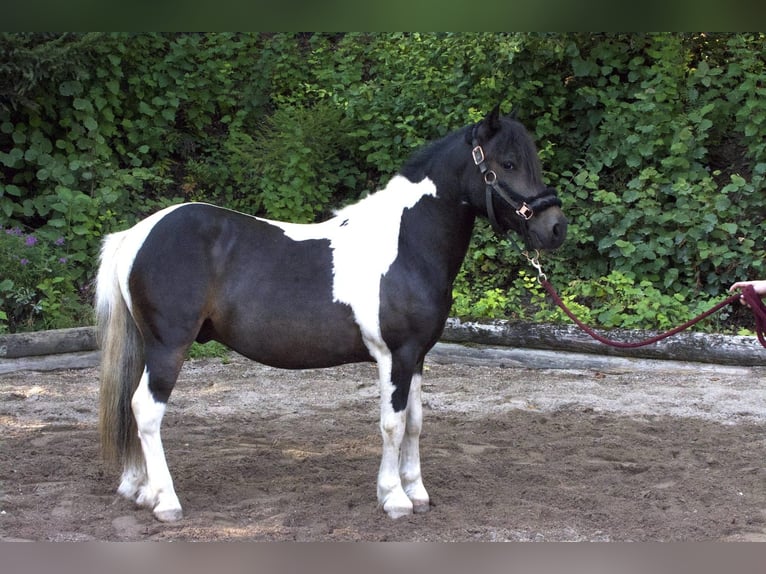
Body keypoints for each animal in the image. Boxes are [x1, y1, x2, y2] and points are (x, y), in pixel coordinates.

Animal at [96, 106, 568, 524]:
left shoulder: (417, 356)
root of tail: (137, 234)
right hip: (168, 347)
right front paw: (394, 498)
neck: (406, 245)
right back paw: (167, 502)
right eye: (507, 163)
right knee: (146, 410)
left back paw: (142, 491)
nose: (555, 228)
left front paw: (417, 492)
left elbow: (416, 422)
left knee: (133, 408)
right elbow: (393, 424)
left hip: (149, 346)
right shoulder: (395, 355)